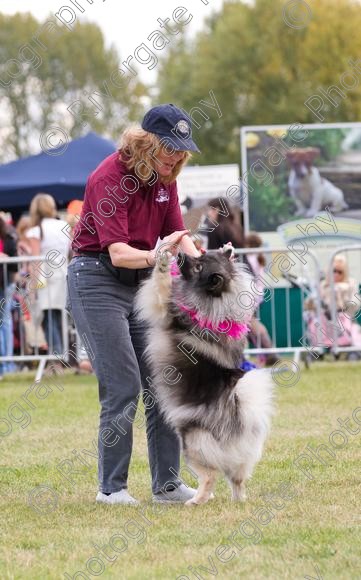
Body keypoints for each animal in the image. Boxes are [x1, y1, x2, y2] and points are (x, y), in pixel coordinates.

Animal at [134, 247, 272, 506]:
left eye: (198, 267)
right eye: (201, 254)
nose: (181, 256)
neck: (215, 300)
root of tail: (238, 417)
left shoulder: (166, 308)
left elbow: (161, 286)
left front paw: (162, 263)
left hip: (192, 445)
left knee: (210, 476)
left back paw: (196, 501)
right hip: (237, 458)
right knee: (237, 479)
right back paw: (238, 500)